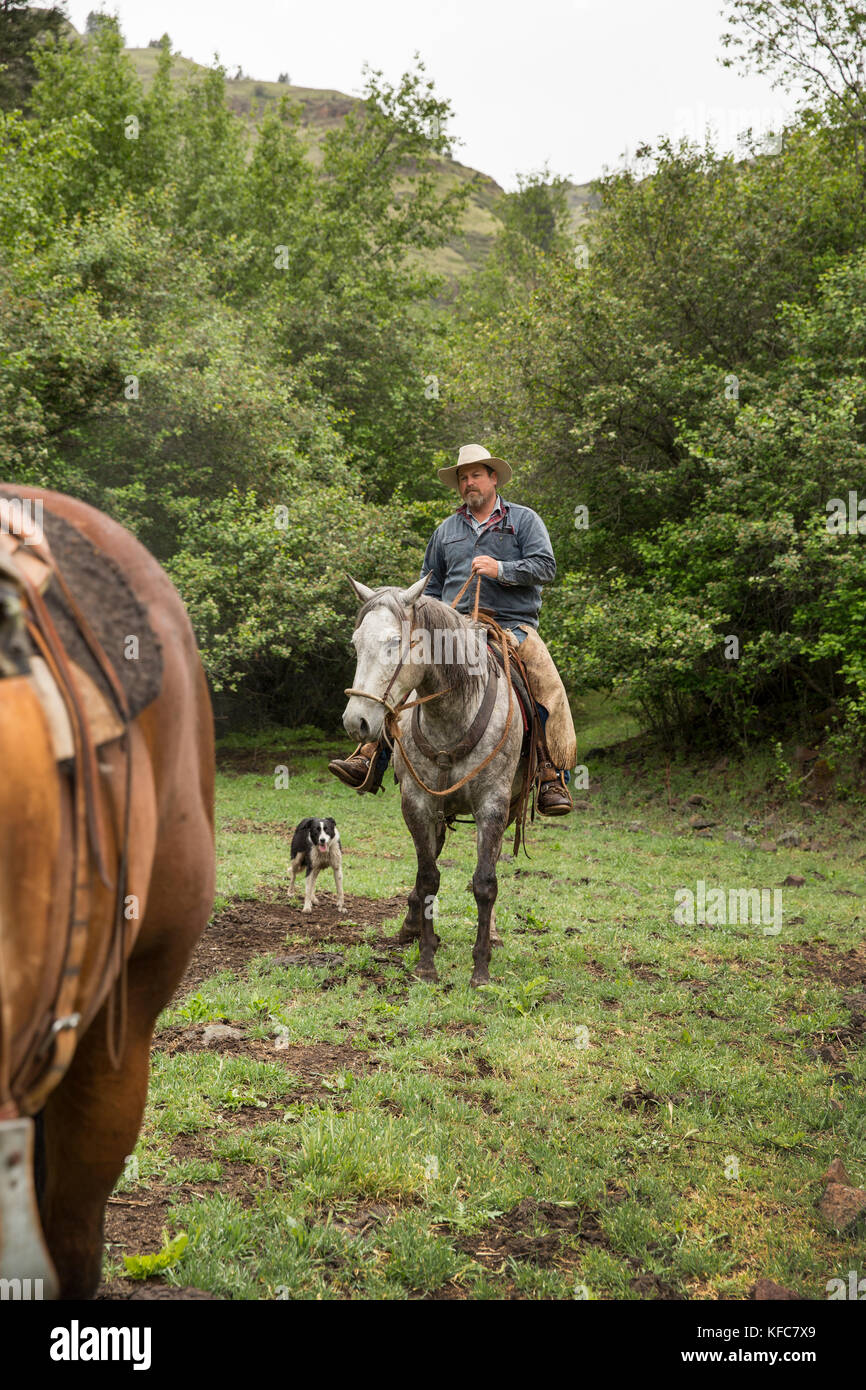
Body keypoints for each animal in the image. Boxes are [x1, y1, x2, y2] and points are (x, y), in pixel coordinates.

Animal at [341, 575, 525, 989]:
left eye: (395, 641)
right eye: (356, 643)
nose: (356, 722)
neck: (451, 713)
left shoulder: (493, 805)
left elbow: (485, 882)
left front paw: (481, 969)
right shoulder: (417, 803)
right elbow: (428, 877)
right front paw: (426, 961)